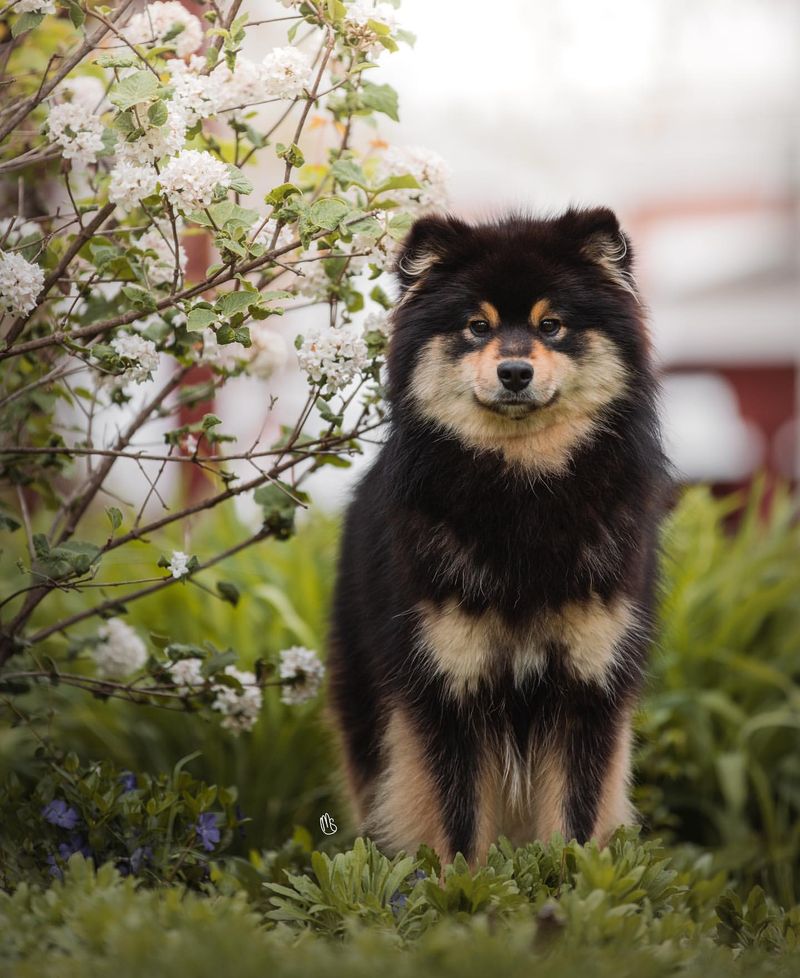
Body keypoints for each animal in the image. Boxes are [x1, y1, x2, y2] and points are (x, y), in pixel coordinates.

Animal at [328, 206, 664, 860]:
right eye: (477, 327)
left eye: (551, 325)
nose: (514, 371)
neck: (523, 490)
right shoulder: (447, 689)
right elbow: (459, 831)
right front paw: (464, 888)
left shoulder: (587, 687)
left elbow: (572, 827)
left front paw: (567, 883)